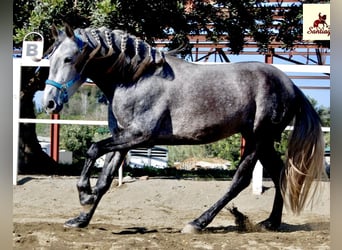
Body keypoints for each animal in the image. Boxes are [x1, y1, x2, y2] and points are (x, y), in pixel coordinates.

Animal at [42, 24, 324, 233]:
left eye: (68, 58)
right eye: (50, 58)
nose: (49, 103)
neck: (134, 78)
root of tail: (291, 85)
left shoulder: (139, 136)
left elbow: (92, 149)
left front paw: (84, 195)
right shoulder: (123, 139)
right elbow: (105, 180)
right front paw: (80, 219)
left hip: (257, 139)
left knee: (240, 180)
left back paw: (198, 223)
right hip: (261, 141)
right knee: (278, 173)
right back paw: (271, 222)